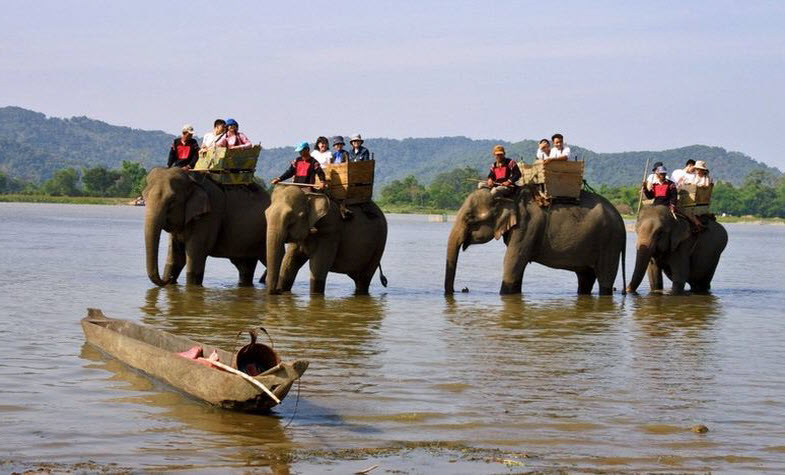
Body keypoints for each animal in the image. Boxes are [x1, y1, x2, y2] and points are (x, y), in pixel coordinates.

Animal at [142, 167, 272, 286]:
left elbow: (195, 259)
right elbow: (175, 259)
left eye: (172, 201)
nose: (168, 280)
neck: (190, 179)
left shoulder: (210, 215)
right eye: (144, 197)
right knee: (245, 266)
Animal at [448, 189, 624, 294]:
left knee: (605, 278)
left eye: (469, 217)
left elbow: (513, 261)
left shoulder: (526, 226)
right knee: (585, 277)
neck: (510, 195)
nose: (461, 290)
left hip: (610, 243)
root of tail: (621, 220)